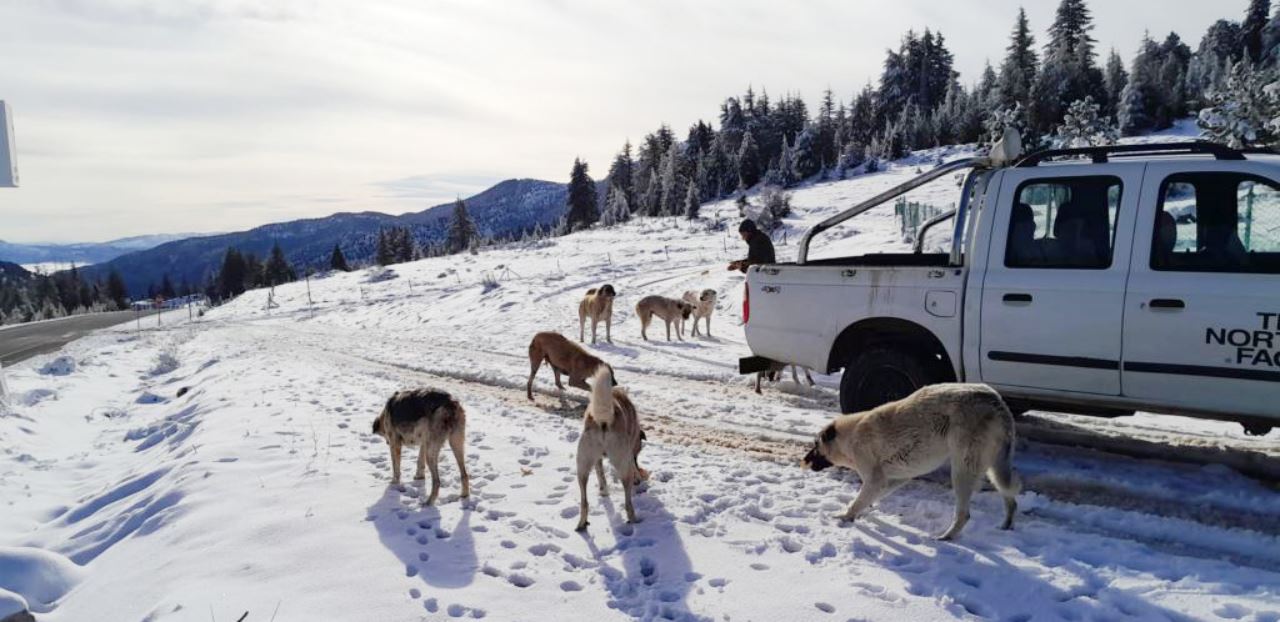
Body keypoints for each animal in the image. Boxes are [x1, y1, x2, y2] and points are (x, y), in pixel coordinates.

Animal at [576, 366, 645, 532]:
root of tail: (603, 421)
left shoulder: (597, 460)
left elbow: (601, 475)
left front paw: (604, 491)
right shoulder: (630, 453)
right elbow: (634, 467)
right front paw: (638, 478)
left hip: (582, 467)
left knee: (584, 501)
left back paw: (582, 524)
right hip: (623, 467)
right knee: (628, 503)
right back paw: (634, 520)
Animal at [803, 383, 1024, 540]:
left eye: (815, 444)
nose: (803, 460)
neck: (850, 436)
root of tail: (996, 402)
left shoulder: (874, 478)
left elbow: (859, 500)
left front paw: (845, 516)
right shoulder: (897, 478)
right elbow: (872, 496)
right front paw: (865, 510)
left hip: (962, 469)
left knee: (964, 514)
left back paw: (945, 537)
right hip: (994, 468)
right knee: (1010, 500)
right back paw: (1006, 526)